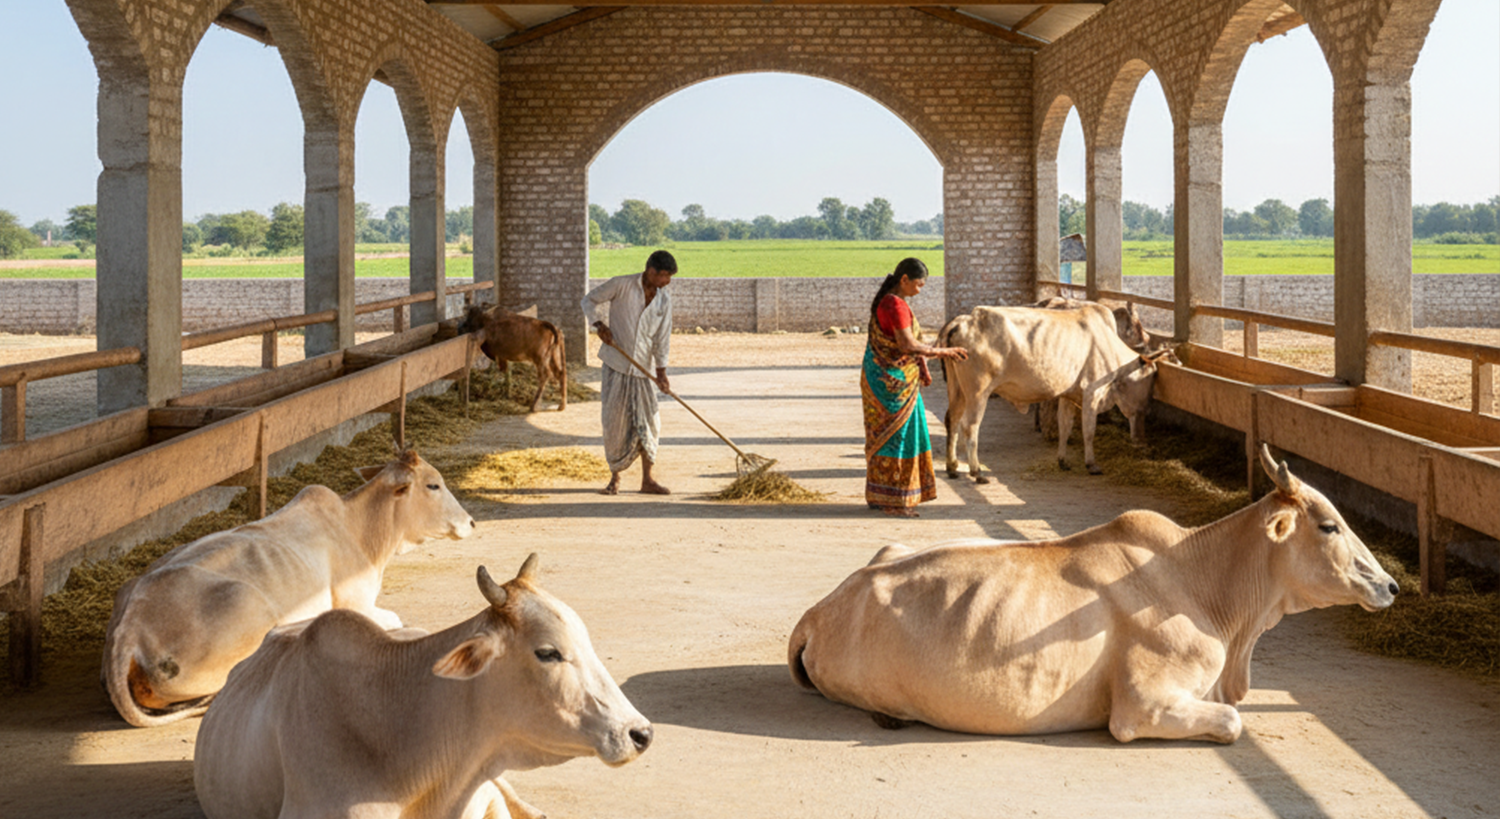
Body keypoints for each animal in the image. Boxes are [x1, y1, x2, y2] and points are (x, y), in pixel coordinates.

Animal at [102, 449, 474, 727]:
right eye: (433, 485)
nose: (470, 521)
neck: (360, 529)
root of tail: (131, 626)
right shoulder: (357, 602)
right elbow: (394, 617)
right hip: (249, 611)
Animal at [939, 302, 1171, 480]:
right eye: (1150, 379)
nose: (1141, 437)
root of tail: (965, 319)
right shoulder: (1091, 394)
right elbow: (1089, 431)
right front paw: (1091, 464)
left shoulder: (1068, 395)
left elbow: (1065, 427)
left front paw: (1063, 460)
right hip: (978, 392)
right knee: (970, 426)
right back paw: (977, 472)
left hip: (957, 389)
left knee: (952, 419)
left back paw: (952, 467)